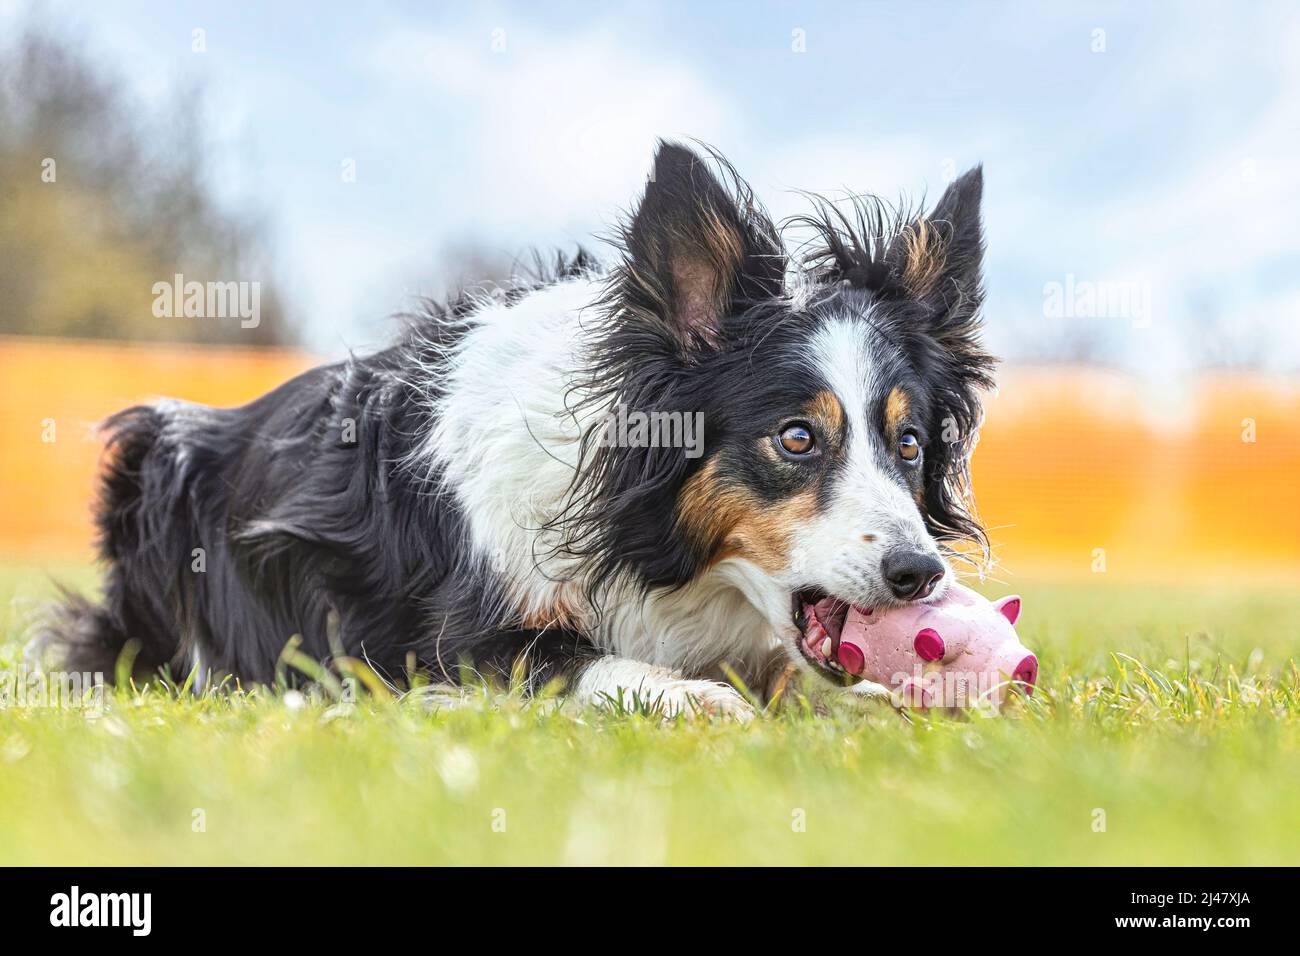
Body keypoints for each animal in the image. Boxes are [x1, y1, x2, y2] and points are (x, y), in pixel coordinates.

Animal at [40, 141, 993, 717]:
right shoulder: (441, 643)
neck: (656, 551)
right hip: (156, 460)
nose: (919, 573)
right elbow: (570, 657)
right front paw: (692, 698)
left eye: (908, 443)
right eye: (796, 438)